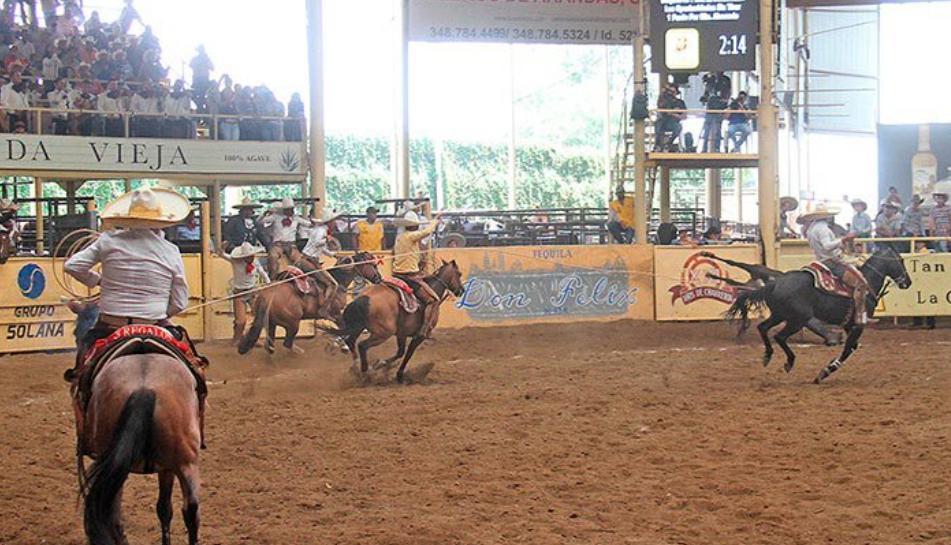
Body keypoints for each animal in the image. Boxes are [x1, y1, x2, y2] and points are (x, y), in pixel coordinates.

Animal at [65, 304, 206, 544]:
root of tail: (144, 385)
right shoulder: (167, 466)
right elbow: (164, 509)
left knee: (112, 515)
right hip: (185, 461)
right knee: (191, 510)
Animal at [238, 250, 384, 354]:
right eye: (373, 265)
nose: (379, 278)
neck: (340, 281)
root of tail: (267, 295)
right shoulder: (336, 313)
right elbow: (344, 328)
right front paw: (339, 345)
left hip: (271, 323)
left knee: (271, 346)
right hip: (292, 323)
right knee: (287, 343)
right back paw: (298, 353)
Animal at [322, 260, 466, 382]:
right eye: (459, 274)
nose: (461, 290)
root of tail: (363, 298)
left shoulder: (401, 334)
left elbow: (400, 352)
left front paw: (382, 364)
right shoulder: (419, 337)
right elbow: (407, 354)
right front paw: (399, 374)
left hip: (359, 326)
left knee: (351, 341)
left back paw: (356, 369)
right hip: (383, 333)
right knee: (362, 345)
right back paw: (365, 373)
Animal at [728, 246, 916, 382]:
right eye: (900, 261)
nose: (908, 282)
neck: (867, 282)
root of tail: (775, 283)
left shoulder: (849, 325)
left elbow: (852, 347)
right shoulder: (858, 325)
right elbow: (848, 349)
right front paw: (826, 371)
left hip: (780, 315)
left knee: (762, 328)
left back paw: (767, 355)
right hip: (796, 320)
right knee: (779, 336)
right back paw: (789, 362)